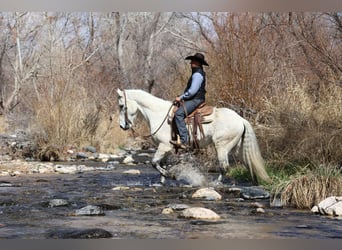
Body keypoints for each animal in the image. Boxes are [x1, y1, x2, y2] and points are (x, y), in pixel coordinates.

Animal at [117, 89, 270, 185]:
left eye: (122, 106)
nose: (122, 126)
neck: (159, 114)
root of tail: (241, 119)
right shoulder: (166, 148)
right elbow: (161, 164)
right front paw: (162, 181)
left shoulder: (164, 146)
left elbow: (154, 163)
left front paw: (171, 175)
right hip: (237, 147)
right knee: (248, 162)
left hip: (222, 146)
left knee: (224, 167)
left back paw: (216, 183)